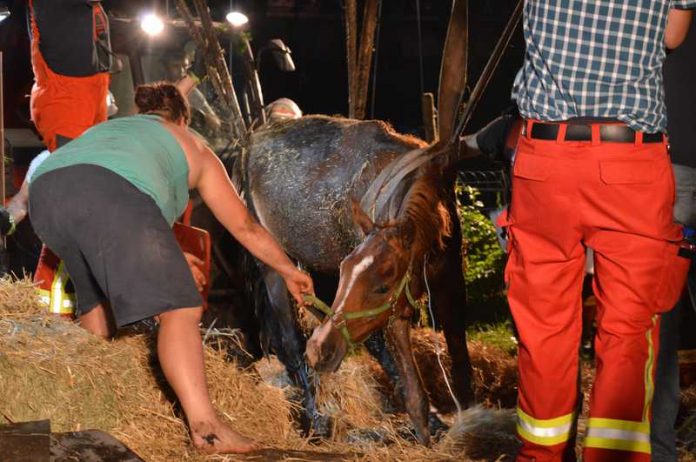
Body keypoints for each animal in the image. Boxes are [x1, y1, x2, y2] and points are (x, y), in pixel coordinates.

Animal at [234, 114, 474, 444]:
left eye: (382, 286)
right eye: (346, 268)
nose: (320, 350)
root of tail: (253, 138)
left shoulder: (450, 281)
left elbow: (461, 366)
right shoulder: (393, 310)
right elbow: (412, 388)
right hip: (271, 266)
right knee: (293, 342)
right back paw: (317, 420)